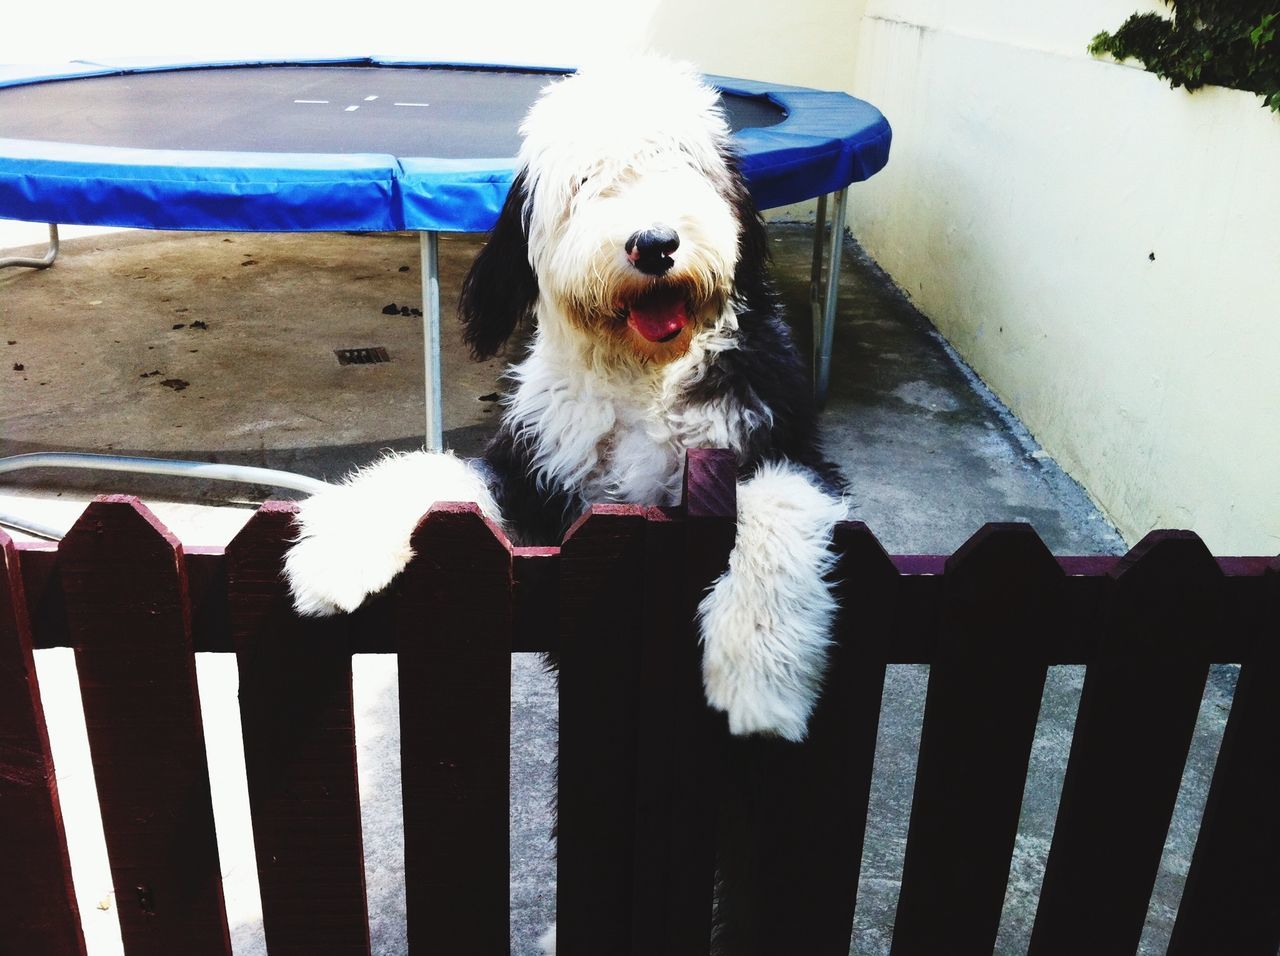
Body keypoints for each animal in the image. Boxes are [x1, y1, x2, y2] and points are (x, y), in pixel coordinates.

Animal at [285, 57, 855, 952]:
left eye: (683, 165)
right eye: (589, 182)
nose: (654, 243)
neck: (640, 378)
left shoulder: (793, 450)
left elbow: (775, 502)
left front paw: (759, 677)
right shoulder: (533, 486)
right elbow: (439, 476)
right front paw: (337, 548)